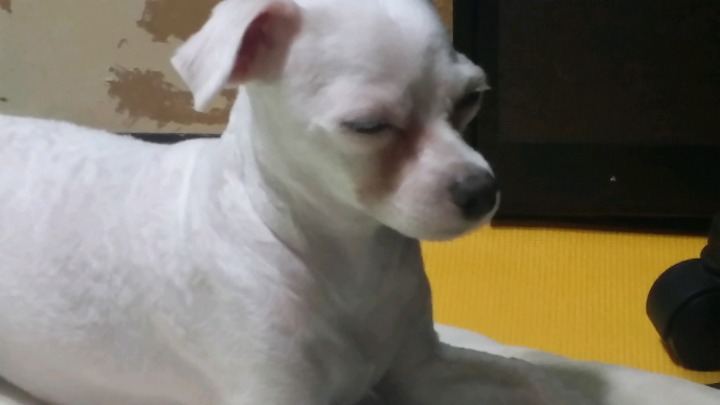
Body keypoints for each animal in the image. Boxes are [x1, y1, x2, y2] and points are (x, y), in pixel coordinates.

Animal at [1, 0, 719, 404]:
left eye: (472, 99)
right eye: (368, 126)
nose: (481, 191)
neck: (346, 259)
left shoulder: (422, 372)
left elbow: (535, 382)